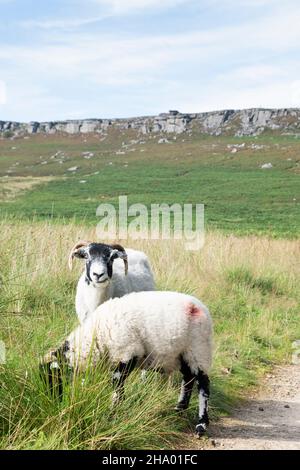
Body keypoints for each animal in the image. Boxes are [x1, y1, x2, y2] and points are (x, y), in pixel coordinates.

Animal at [41, 290, 213, 436]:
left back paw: (201, 425)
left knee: (203, 386)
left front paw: (112, 412)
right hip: (184, 355)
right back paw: (179, 409)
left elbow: (117, 386)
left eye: (53, 378)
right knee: (188, 379)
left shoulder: (127, 353)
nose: (54, 403)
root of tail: (201, 307)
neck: (97, 337)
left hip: (199, 349)